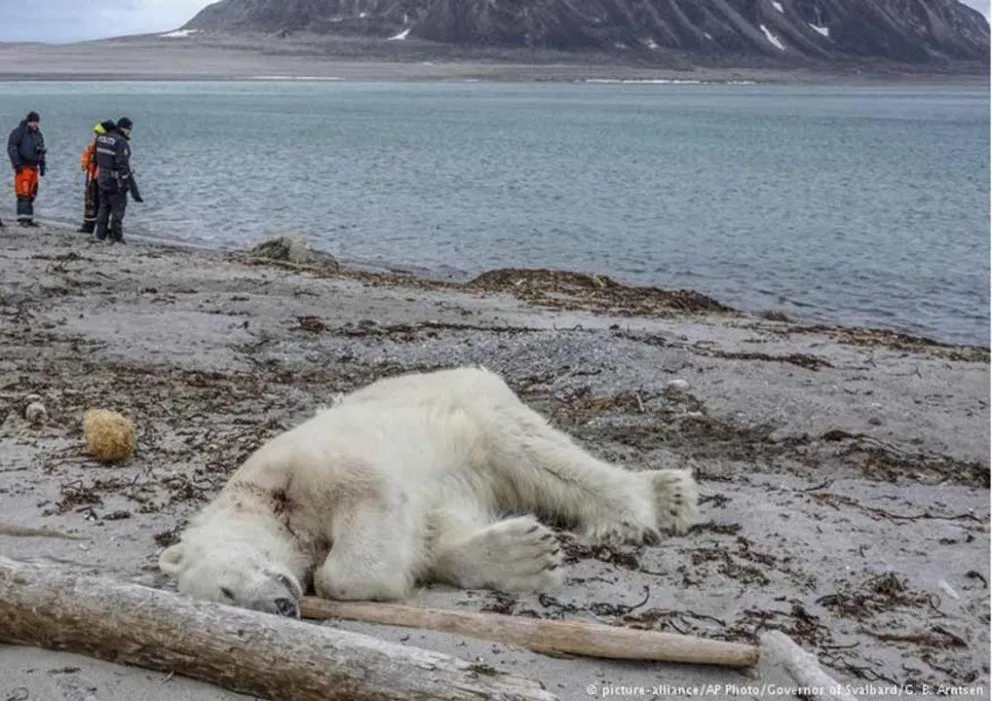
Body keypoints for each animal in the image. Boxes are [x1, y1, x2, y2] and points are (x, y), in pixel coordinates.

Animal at [158, 366, 699, 618]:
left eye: (227, 589)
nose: (281, 607)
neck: (264, 501)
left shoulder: (303, 467)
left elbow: (365, 511)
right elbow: (436, 532)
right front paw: (524, 555)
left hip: (476, 409)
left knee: (538, 455)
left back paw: (647, 505)